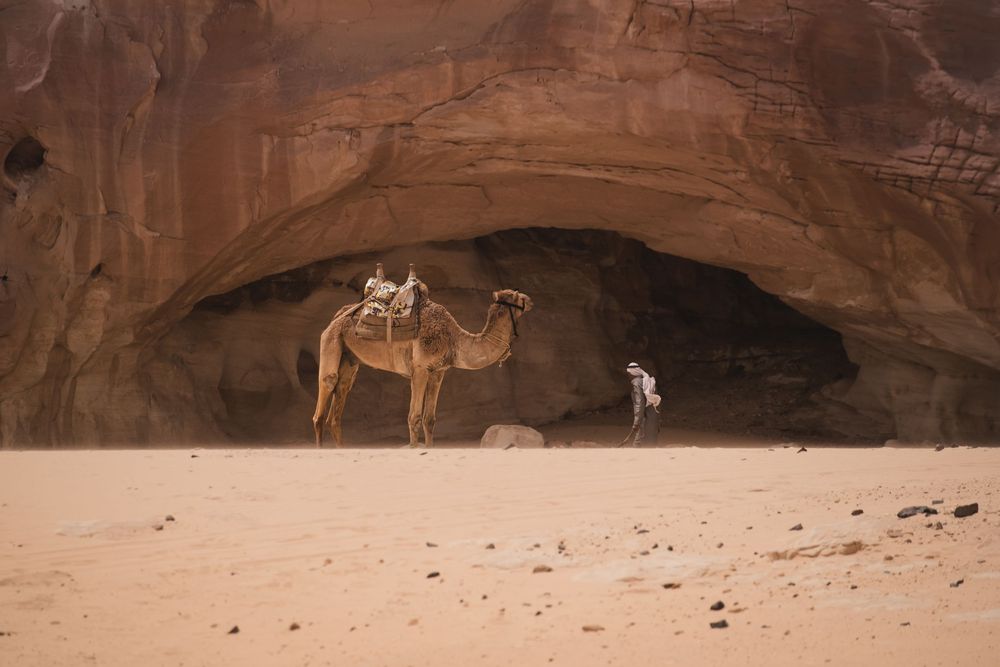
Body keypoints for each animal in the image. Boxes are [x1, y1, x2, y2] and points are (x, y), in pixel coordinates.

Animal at [312, 268, 533, 448]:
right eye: (517, 296)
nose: (530, 300)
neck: (453, 339)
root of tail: (337, 316)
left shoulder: (438, 371)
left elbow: (429, 419)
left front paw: (429, 447)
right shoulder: (420, 368)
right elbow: (414, 417)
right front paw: (414, 448)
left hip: (349, 359)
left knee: (340, 399)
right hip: (331, 340)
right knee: (324, 397)